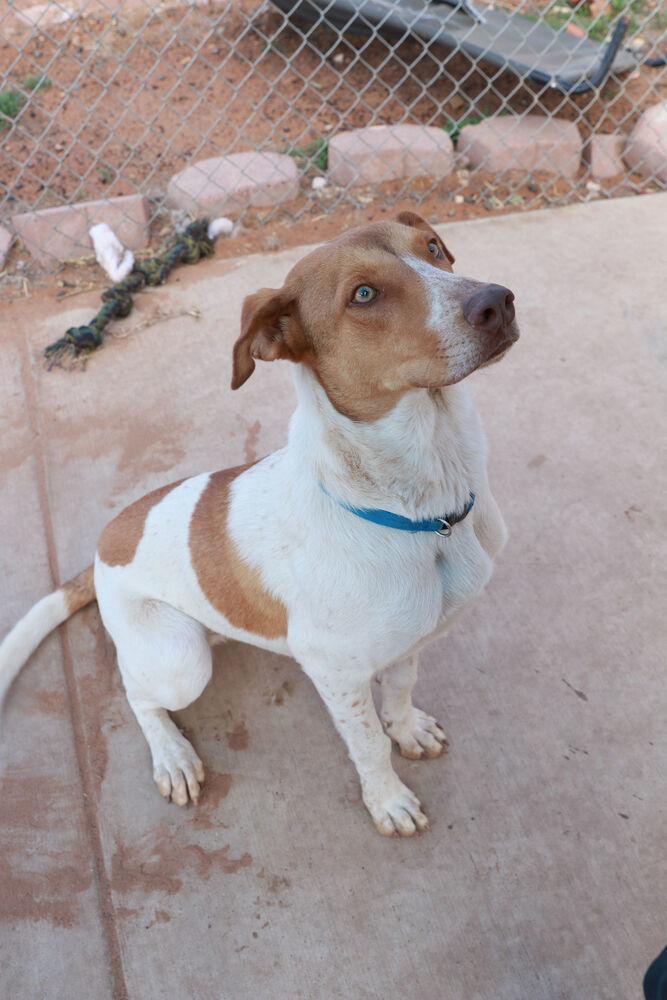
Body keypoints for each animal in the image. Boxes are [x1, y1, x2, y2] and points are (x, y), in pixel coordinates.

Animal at [0, 211, 520, 836]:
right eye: (363, 295)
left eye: (435, 247)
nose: (499, 301)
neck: (422, 511)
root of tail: (104, 545)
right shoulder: (334, 670)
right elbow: (368, 742)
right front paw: (388, 800)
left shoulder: (408, 637)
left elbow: (399, 691)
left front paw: (409, 728)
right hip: (180, 658)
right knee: (136, 691)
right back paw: (172, 756)